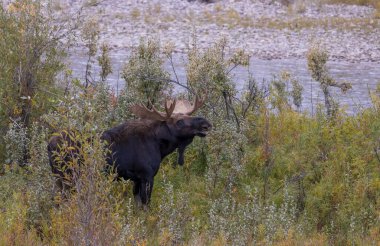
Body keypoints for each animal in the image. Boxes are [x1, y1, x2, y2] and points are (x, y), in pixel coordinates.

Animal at [47, 96, 211, 208]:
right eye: (179, 121)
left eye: (188, 116)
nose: (206, 123)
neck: (160, 146)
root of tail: (48, 145)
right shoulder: (147, 175)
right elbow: (146, 205)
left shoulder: (136, 178)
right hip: (68, 176)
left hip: (58, 179)